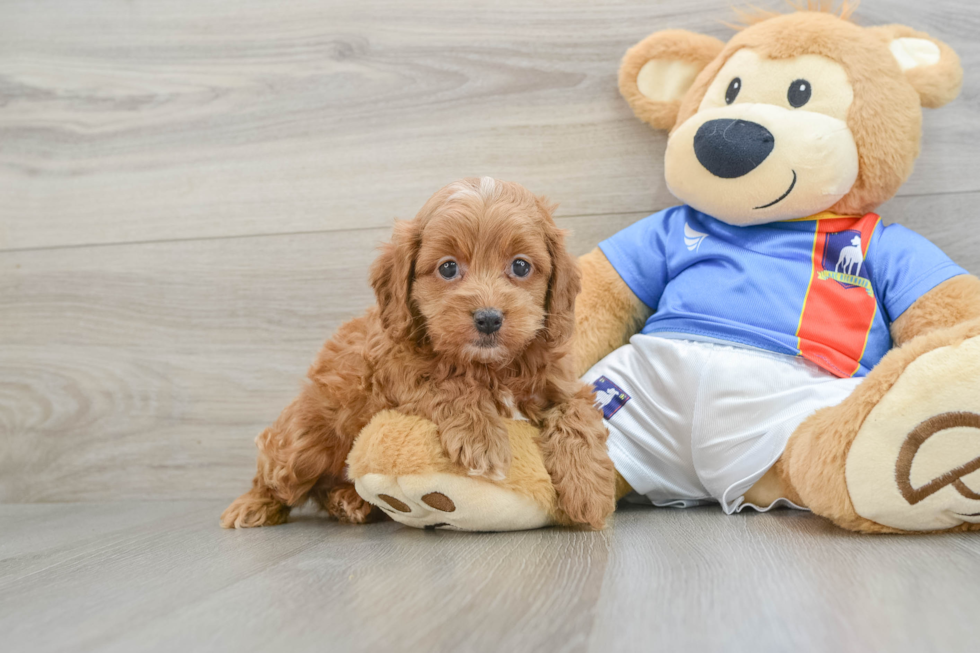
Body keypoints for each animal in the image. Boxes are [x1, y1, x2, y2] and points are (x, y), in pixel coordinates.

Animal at [224, 178, 612, 528]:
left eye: (520, 266)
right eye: (448, 267)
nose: (488, 318)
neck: (490, 366)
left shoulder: (562, 382)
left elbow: (578, 414)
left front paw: (589, 490)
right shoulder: (393, 369)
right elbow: (448, 385)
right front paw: (481, 438)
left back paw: (348, 501)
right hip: (302, 444)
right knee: (280, 474)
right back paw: (254, 505)